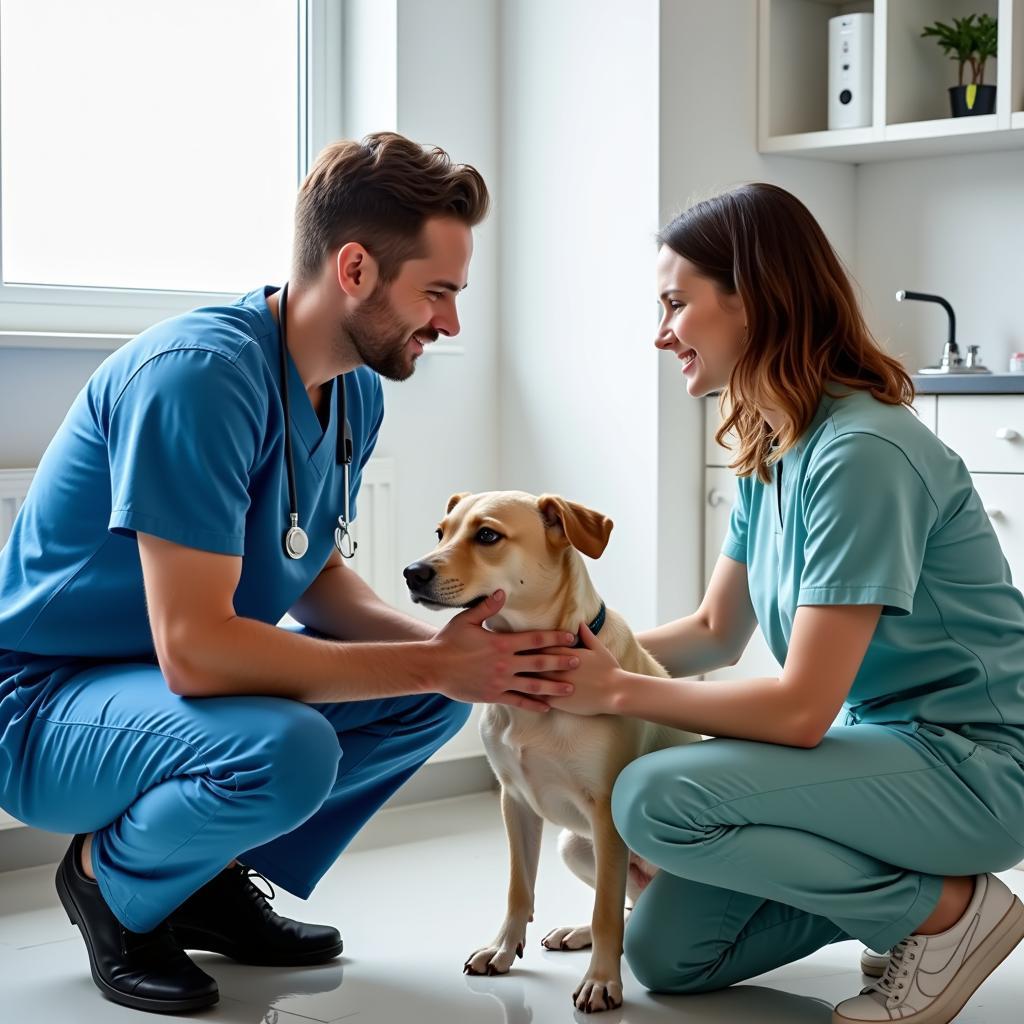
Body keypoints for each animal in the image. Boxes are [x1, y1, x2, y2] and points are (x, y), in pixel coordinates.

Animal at [403, 491, 700, 1011]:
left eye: (487, 535)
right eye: (441, 532)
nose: (412, 572)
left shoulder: (604, 812)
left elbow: (605, 911)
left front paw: (602, 981)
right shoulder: (514, 801)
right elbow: (519, 890)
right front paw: (502, 950)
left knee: (622, 908)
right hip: (573, 846)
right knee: (628, 905)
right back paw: (576, 933)